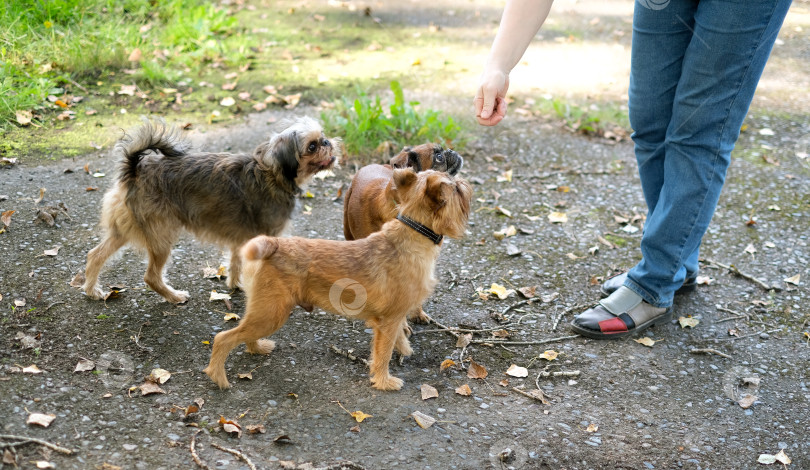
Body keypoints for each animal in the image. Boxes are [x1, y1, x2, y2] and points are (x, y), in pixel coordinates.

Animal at [80, 115, 336, 302]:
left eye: (322, 138)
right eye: (312, 146)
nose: (328, 142)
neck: (272, 173)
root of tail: (134, 169)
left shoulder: (242, 241)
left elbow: (235, 264)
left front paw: (236, 285)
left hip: (124, 231)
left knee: (95, 255)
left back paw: (92, 290)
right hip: (162, 236)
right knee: (150, 276)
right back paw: (174, 297)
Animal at [202, 168, 470, 390]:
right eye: (456, 188)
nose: (464, 181)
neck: (412, 233)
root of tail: (273, 245)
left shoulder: (390, 319)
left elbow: (397, 338)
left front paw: (403, 349)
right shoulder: (390, 319)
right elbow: (383, 353)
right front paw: (384, 381)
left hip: (265, 313)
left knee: (242, 335)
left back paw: (256, 348)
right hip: (271, 314)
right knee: (223, 338)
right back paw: (219, 377)